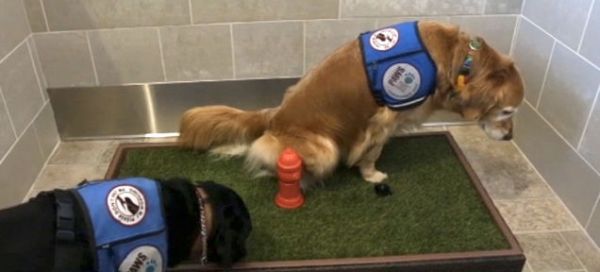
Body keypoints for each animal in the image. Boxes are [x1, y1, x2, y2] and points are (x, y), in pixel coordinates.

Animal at [177, 20, 520, 187]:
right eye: (506, 111)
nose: (510, 137)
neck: (456, 59)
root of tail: (273, 118)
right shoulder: (383, 118)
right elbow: (371, 152)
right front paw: (371, 174)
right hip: (323, 148)